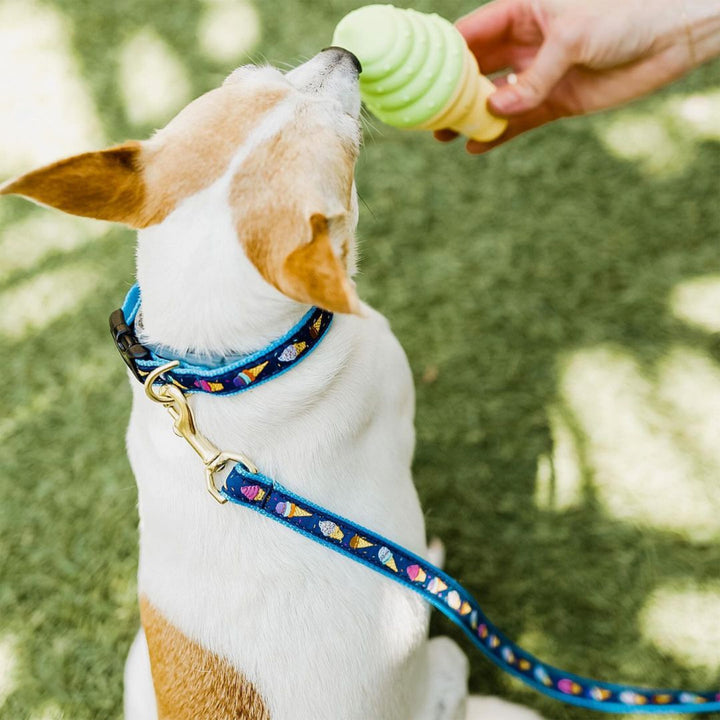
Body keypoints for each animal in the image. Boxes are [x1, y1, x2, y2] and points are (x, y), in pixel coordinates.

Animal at [2, 49, 544, 720]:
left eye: (248, 74)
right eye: (346, 149)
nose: (346, 54)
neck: (227, 369)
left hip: (134, 665)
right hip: (442, 670)